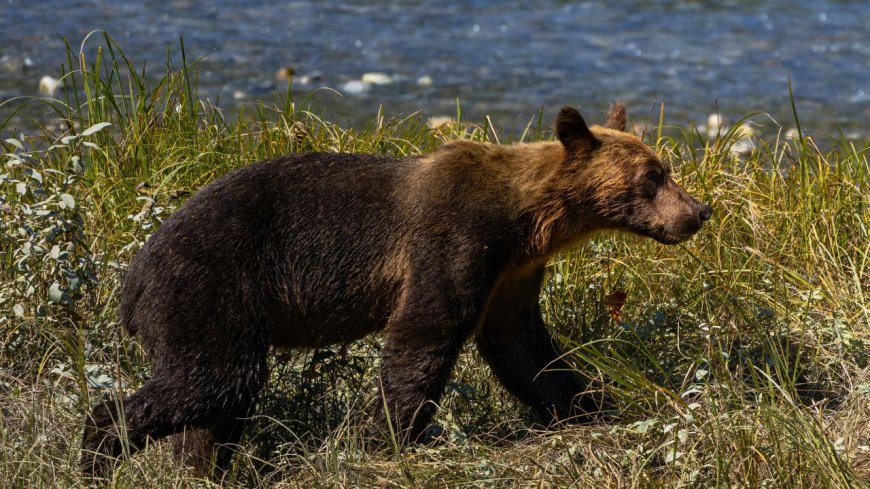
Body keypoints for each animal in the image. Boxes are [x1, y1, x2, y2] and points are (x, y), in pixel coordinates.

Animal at [81, 103, 712, 478]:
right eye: (653, 176)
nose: (698, 212)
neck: (527, 220)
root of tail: (132, 281)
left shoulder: (512, 274)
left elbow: (524, 349)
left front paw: (592, 405)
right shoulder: (456, 237)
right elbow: (425, 332)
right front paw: (387, 436)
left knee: (219, 402)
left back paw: (205, 466)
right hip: (209, 286)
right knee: (213, 379)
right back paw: (99, 448)